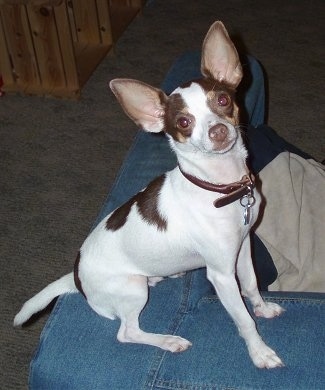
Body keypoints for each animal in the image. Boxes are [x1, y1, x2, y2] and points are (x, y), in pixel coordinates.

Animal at [14, 21, 284, 368]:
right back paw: (169, 341)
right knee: (127, 333)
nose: (218, 131)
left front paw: (262, 308)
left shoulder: (243, 247)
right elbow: (243, 319)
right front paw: (260, 352)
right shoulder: (222, 274)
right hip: (132, 289)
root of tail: (76, 278)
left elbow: (251, 286)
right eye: (183, 122)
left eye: (223, 100)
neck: (219, 187)